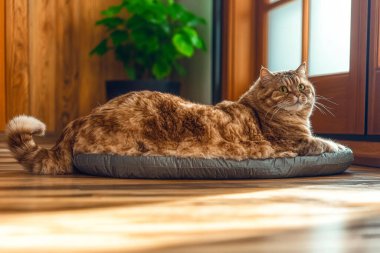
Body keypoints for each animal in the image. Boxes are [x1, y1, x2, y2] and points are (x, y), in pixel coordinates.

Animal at [5, 62, 346, 175]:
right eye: (284, 89)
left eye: (302, 86)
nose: (299, 95)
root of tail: (78, 121)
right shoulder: (298, 142)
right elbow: (323, 143)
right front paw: (338, 146)